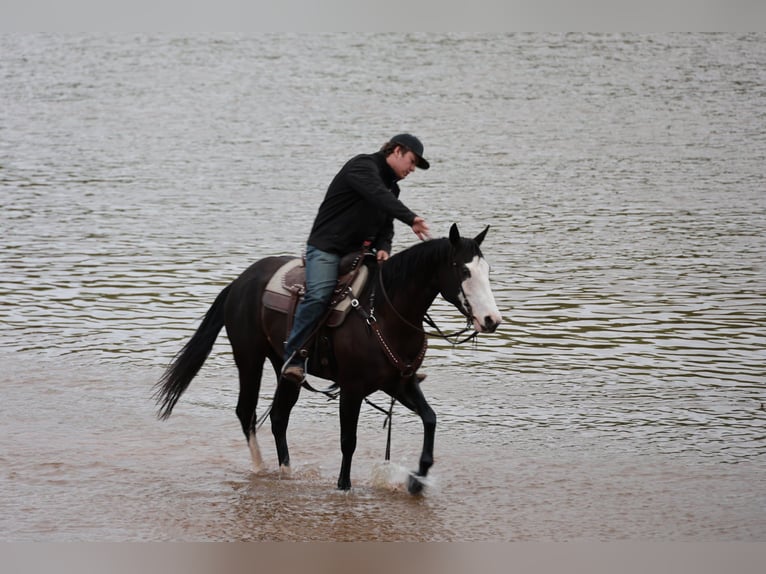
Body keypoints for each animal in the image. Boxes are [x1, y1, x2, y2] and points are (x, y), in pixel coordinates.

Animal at [154, 223, 502, 494]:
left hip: (285, 368)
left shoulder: (399, 383)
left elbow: (430, 419)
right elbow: (349, 440)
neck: (384, 313)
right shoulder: (352, 389)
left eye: (487, 271)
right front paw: (343, 487)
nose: (491, 320)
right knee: (247, 412)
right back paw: (261, 468)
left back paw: (286, 473)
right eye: (464, 270)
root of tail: (239, 283)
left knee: (279, 416)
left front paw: (417, 480)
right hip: (249, 358)